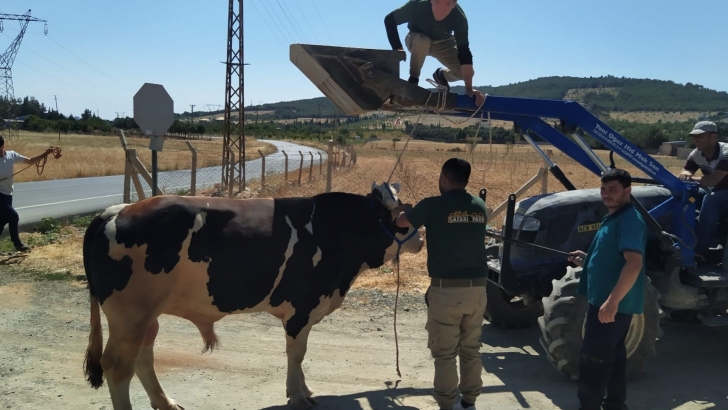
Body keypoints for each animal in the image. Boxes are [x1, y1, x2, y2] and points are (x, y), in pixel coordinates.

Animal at [82, 183, 424, 410]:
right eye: (402, 214)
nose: (421, 238)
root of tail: (117, 210)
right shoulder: (302, 308)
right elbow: (296, 353)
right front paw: (298, 395)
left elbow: (298, 354)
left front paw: (304, 390)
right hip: (130, 316)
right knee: (117, 366)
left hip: (145, 317)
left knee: (144, 357)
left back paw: (165, 402)